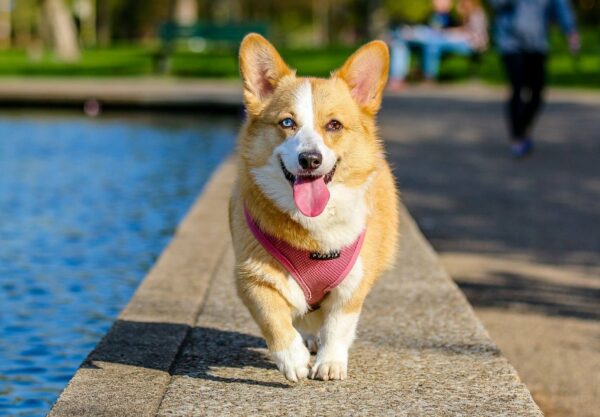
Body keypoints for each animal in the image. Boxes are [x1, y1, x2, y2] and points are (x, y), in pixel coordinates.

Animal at [230, 35, 398, 380]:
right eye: (287, 122)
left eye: (334, 125)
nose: (310, 159)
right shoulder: (251, 277)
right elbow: (273, 318)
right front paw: (292, 359)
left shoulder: (353, 284)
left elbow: (338, 325)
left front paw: (330, 362)